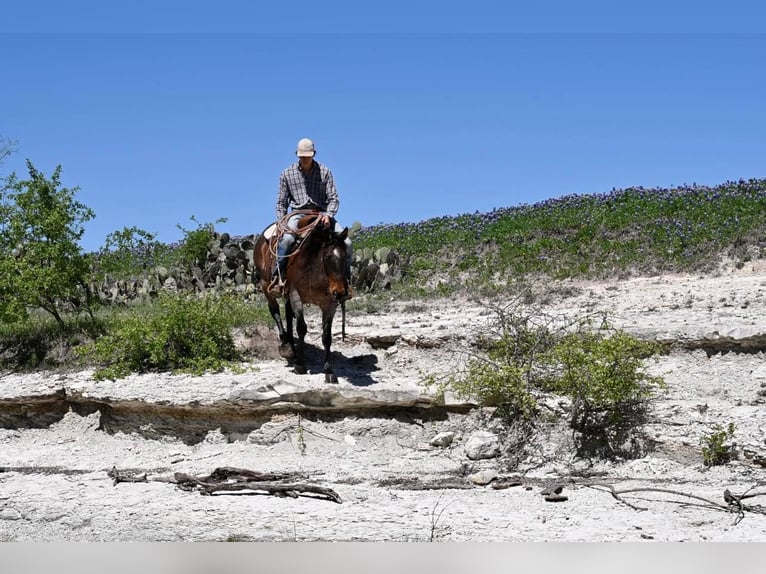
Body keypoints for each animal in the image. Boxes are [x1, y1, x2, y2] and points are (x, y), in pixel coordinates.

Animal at [254, 214, 352, 384]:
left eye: (345, 256)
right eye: (327, 256)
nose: (340, 292)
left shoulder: (329, 305)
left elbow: (327, 336)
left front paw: (329, 371)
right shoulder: (296, 295)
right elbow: (301, 328)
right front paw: (300, 364)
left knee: (287, 315)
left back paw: (292, 347)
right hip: (267, 287)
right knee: (275, 312)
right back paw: (286, 345)